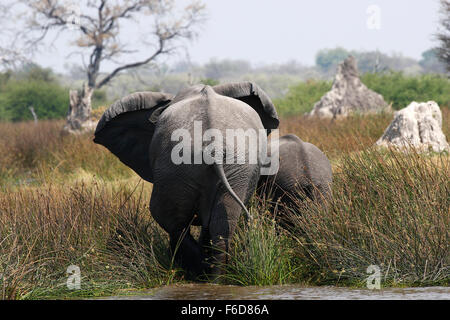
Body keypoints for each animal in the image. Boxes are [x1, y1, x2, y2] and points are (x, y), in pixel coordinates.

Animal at [93, 82, 280, 278]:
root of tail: (213, 145)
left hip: (179, 164)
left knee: (171, 221)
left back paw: (198, 270)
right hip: (235, 165)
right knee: (221, 223)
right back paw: (213, 277)